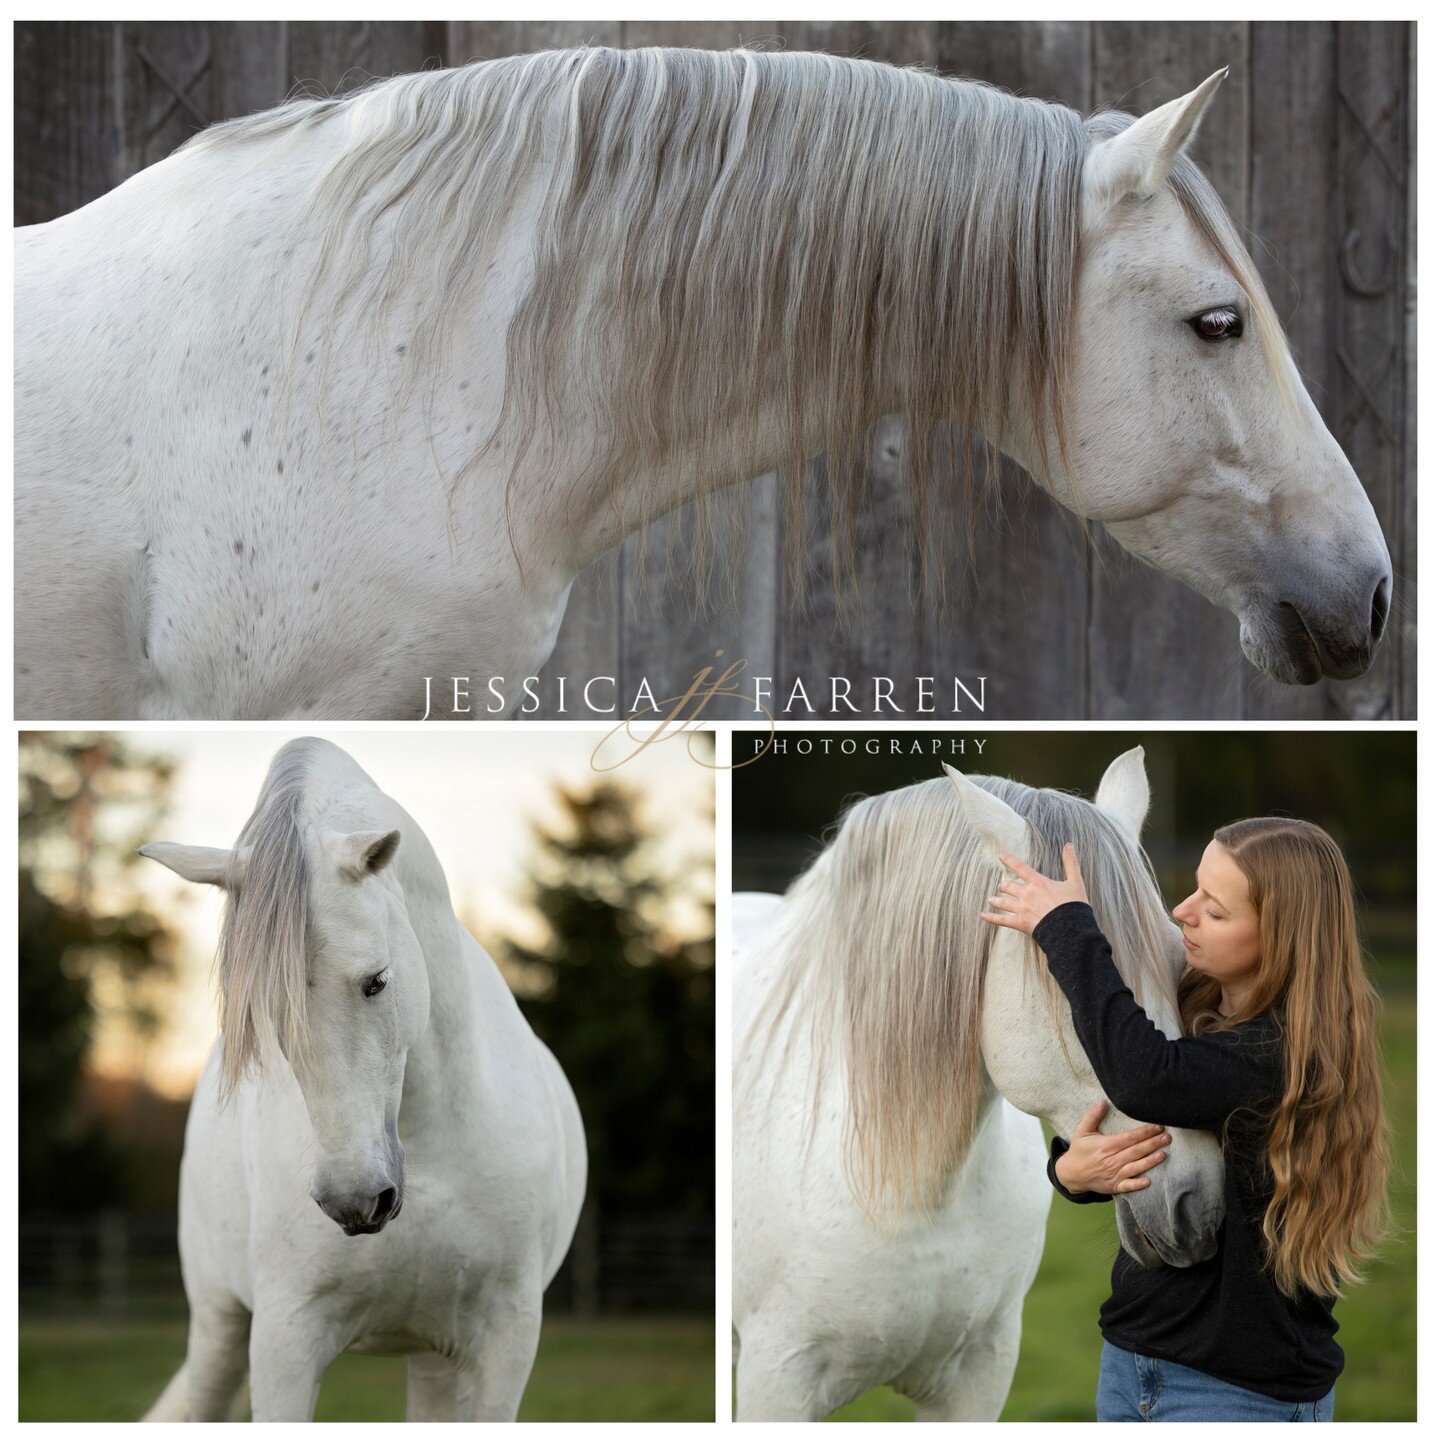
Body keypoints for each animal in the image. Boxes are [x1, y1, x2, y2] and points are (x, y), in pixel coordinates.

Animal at [136, 737, 584, 1422]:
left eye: (376, 980)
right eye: (266, 1010)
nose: (355, 1200)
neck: (430, 1148)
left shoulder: (504, 1342)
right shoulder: (284, 1341)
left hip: (433, 1357)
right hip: (221, 1324)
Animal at [737, 748, 1221, 1422]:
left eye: (1181, 960)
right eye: (1077, 977)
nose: (1199, 1205)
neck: (912, 1196)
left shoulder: (980, 1373)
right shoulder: (776, 1379)